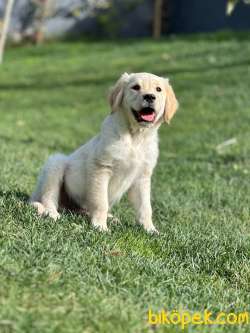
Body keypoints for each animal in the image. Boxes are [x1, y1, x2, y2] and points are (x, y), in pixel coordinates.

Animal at [30, 72, 179, 232]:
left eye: (158, 89)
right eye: (135, 87)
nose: (150, 97)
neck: (135, 137)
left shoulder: (142, 177)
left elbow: (145, 207)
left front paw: (150, 229)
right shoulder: (101, 168)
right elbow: (100, 202)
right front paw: (100, 226)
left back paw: (110, 218)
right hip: (56, 162)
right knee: (47, 197)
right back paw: (48, 212)